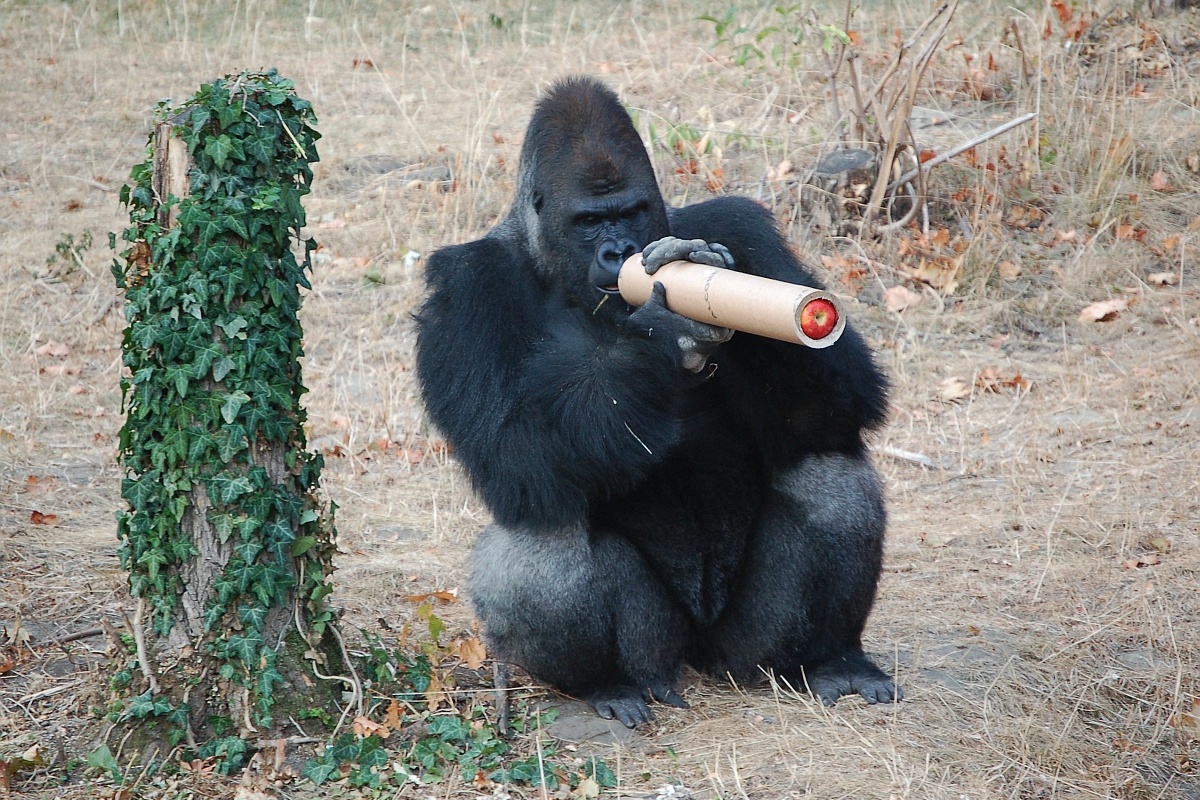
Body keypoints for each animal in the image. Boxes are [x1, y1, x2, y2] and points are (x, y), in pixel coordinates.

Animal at [417, 76, 897, 734]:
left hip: (742, 653)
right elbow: (512, 456)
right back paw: (605, 683)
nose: (619, 251)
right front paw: (663, 337)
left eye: (631, 212)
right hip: (660, 652)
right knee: (541, 539)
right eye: (590, 221)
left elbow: (833, 410)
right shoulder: (462, 288)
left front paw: (728, 292)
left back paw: (830, 658)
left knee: (830, 476)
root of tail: (696, 656)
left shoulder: (738, 223)